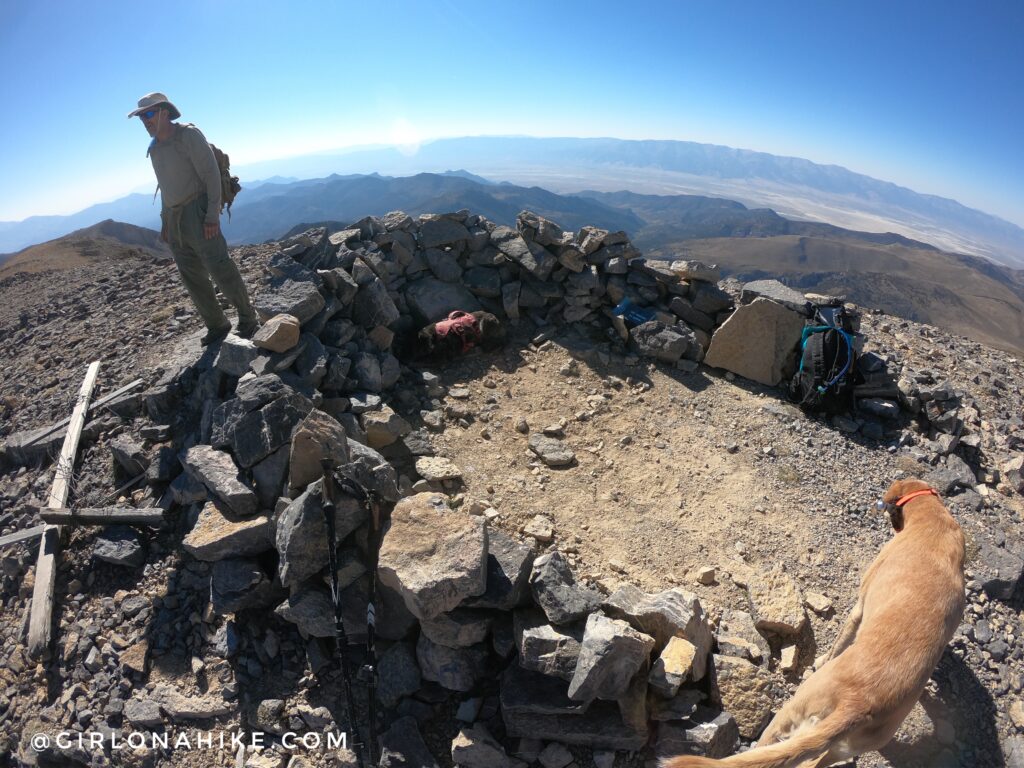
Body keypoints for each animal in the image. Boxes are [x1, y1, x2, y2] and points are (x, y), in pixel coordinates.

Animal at [659, 479, 962, 765]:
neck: (935, 523)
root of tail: (859, 705)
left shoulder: (859, 608)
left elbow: (840, 641)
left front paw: (823, 658)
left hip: (793, 709)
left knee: (766, 746)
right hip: (842, 746)